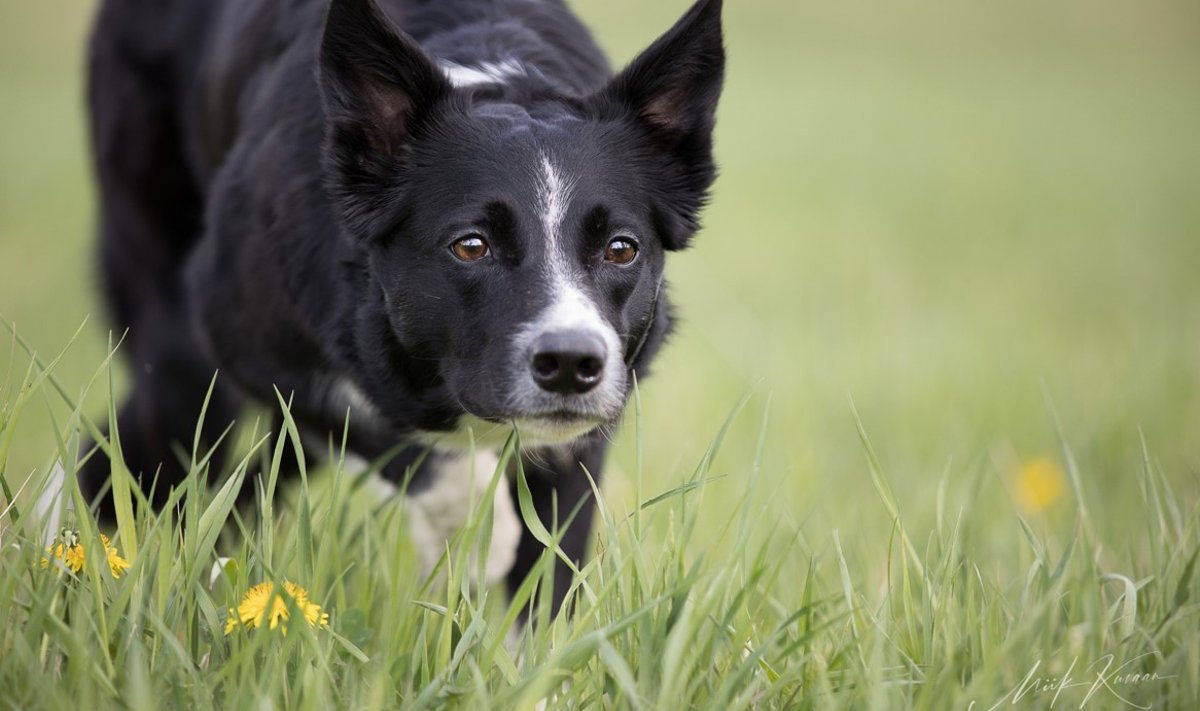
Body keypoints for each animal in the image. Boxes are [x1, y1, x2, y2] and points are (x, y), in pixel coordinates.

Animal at [84, 0, 724, 610]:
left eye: (621, 249)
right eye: (471, 245)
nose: (571, 364)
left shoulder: (582, 436)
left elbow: (548, 581)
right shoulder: (245, 338)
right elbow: (406, 443)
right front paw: (477, 533)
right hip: (184, 362)